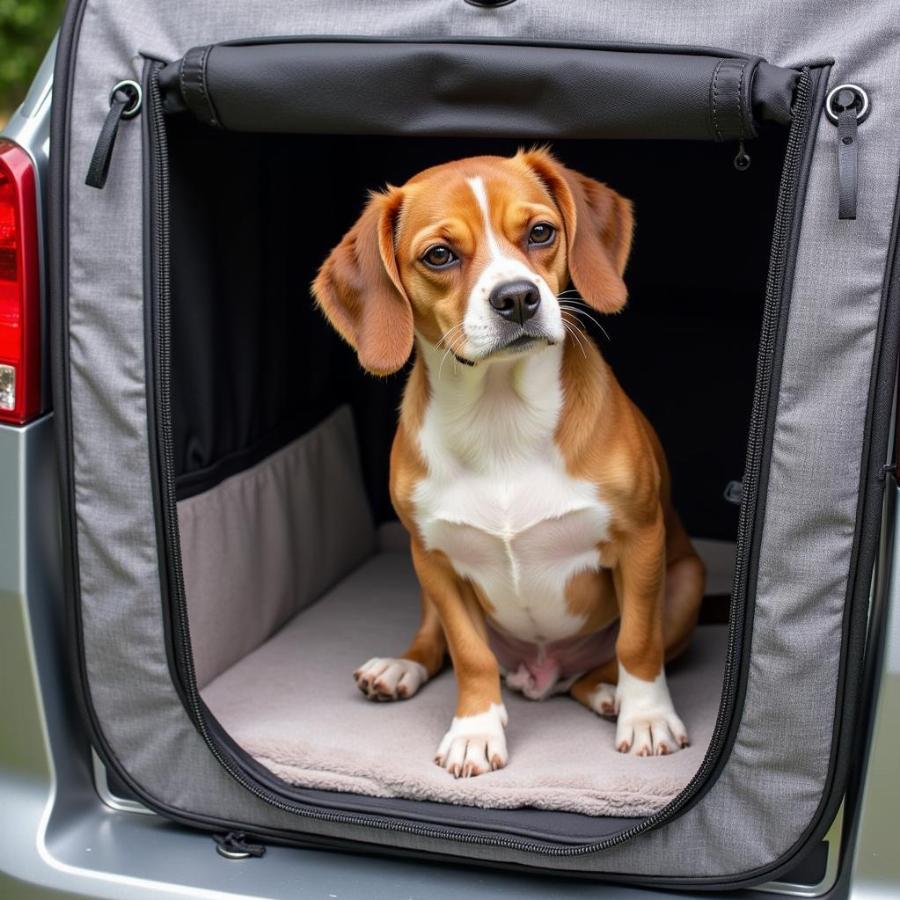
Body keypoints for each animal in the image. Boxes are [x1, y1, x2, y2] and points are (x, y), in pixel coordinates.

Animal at [312, 151, 708, 776]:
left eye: (540, 232)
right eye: (440, 255)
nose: (518, 296)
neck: (500, 417)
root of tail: (541, 674)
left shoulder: (641, 541)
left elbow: (637, 643)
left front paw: (646, 717)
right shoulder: (436, 562)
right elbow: (467, 653)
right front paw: (475, 729)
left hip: (687, 579)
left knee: (599, 671)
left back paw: (609, 692)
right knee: (434, 641)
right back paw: (399, 667)